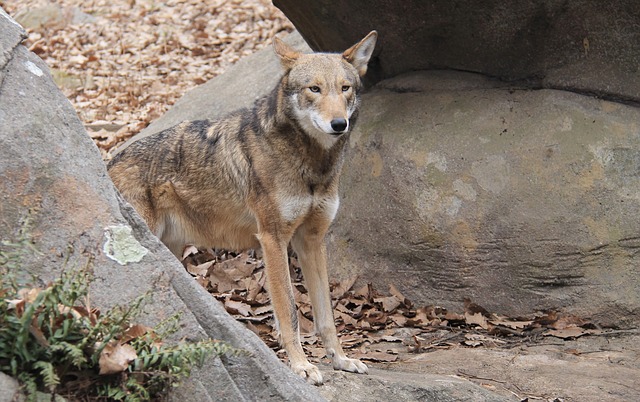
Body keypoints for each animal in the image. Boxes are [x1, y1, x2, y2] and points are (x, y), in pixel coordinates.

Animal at [107, 30, 378, 385]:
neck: (312, 164)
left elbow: (326, 316)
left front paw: (342, 360)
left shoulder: (311, 241)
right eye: (314, 89)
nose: (338, 124)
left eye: (344, 88)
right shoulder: (273, 240)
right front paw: (301, 366)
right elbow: (289, 312)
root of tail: (108, 163)